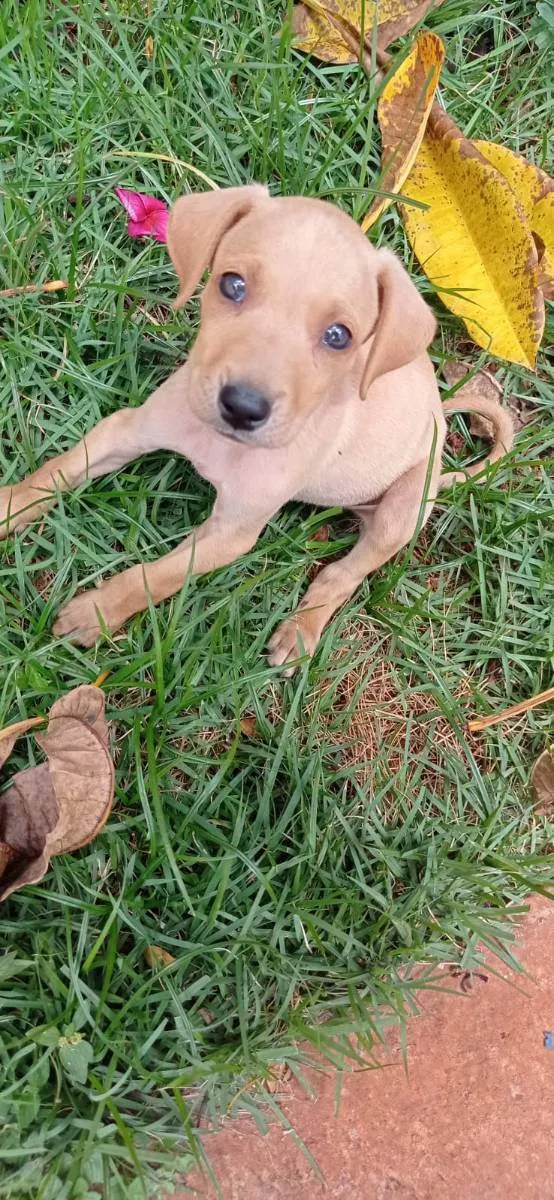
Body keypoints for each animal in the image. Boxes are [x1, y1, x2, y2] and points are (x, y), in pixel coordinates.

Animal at [0, 189, 513, 676]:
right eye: (233, 285)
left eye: (339, 336)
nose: (243, 407)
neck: (223, 446)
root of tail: (439, 418)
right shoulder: (126, 429)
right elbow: (57, 471)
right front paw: (10, 506)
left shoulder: (232, 534)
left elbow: (156, 575)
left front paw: (98, 612)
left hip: (404, 509)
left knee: (346, 573)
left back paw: (303, 628)